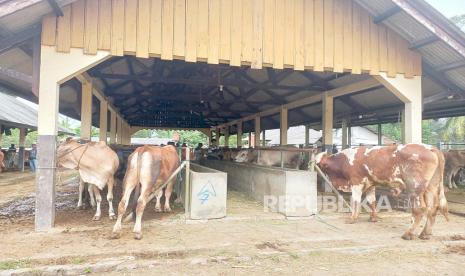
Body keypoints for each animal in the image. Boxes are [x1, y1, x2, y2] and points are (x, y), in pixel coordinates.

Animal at [314, 144, 448, 239]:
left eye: (321, 165)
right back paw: (425, 234)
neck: (345, 159)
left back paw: (408, 234)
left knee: (419, 209)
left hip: (414, 187)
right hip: (431, 186)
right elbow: (371, 201)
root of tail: (430, 148)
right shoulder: (370, 184)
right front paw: (373, 218)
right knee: (433, 208)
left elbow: (356, 202)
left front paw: (352, 218)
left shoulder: (356, 182)